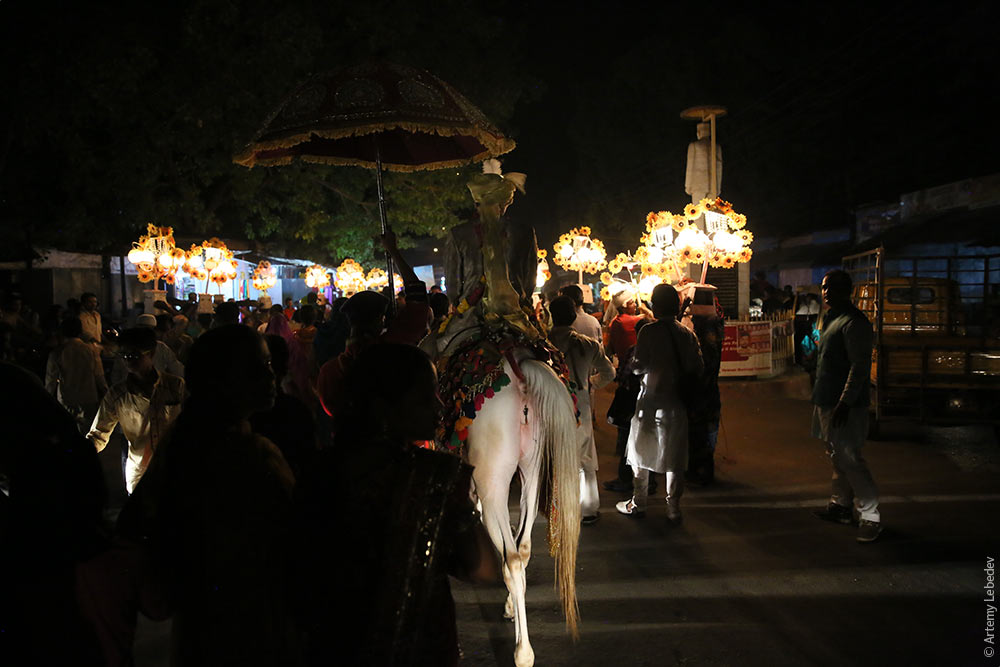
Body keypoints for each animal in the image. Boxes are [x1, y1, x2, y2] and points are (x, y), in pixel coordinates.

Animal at [428, 322, 580, 664]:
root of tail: (519, 373)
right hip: (532, 468)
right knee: (522, 547)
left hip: (493, 477)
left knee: (511, 557)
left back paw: (523, 652)